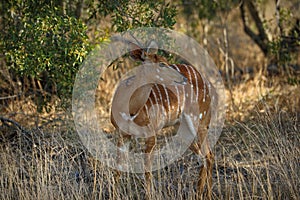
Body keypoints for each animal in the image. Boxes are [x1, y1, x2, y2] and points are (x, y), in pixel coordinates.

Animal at [110, 36, 216, 199]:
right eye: (161, 63)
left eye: (165, 60)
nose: (183, 78)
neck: (130, 110)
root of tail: (201, 76)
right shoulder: (122, 134)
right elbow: (118, 169)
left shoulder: (151, 134)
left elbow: (147, 171)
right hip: (181, 129)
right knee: (202, 158)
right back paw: (198, 193)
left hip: (200, 120)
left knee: (209, 155)